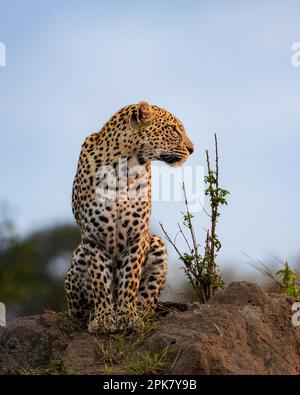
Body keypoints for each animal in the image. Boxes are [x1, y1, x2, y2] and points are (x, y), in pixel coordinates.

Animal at [64, 100, 193, 334]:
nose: (192, 149)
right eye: (173, 129)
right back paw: (92, 315)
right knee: (78, 310)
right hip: (78, 257)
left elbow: (130, 279)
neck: (123, 167)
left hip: (157, 245)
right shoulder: (92, 236)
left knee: (147, 304)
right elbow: (100, 281)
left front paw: (128, 318)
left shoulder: (138, 234)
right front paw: (104, 320)